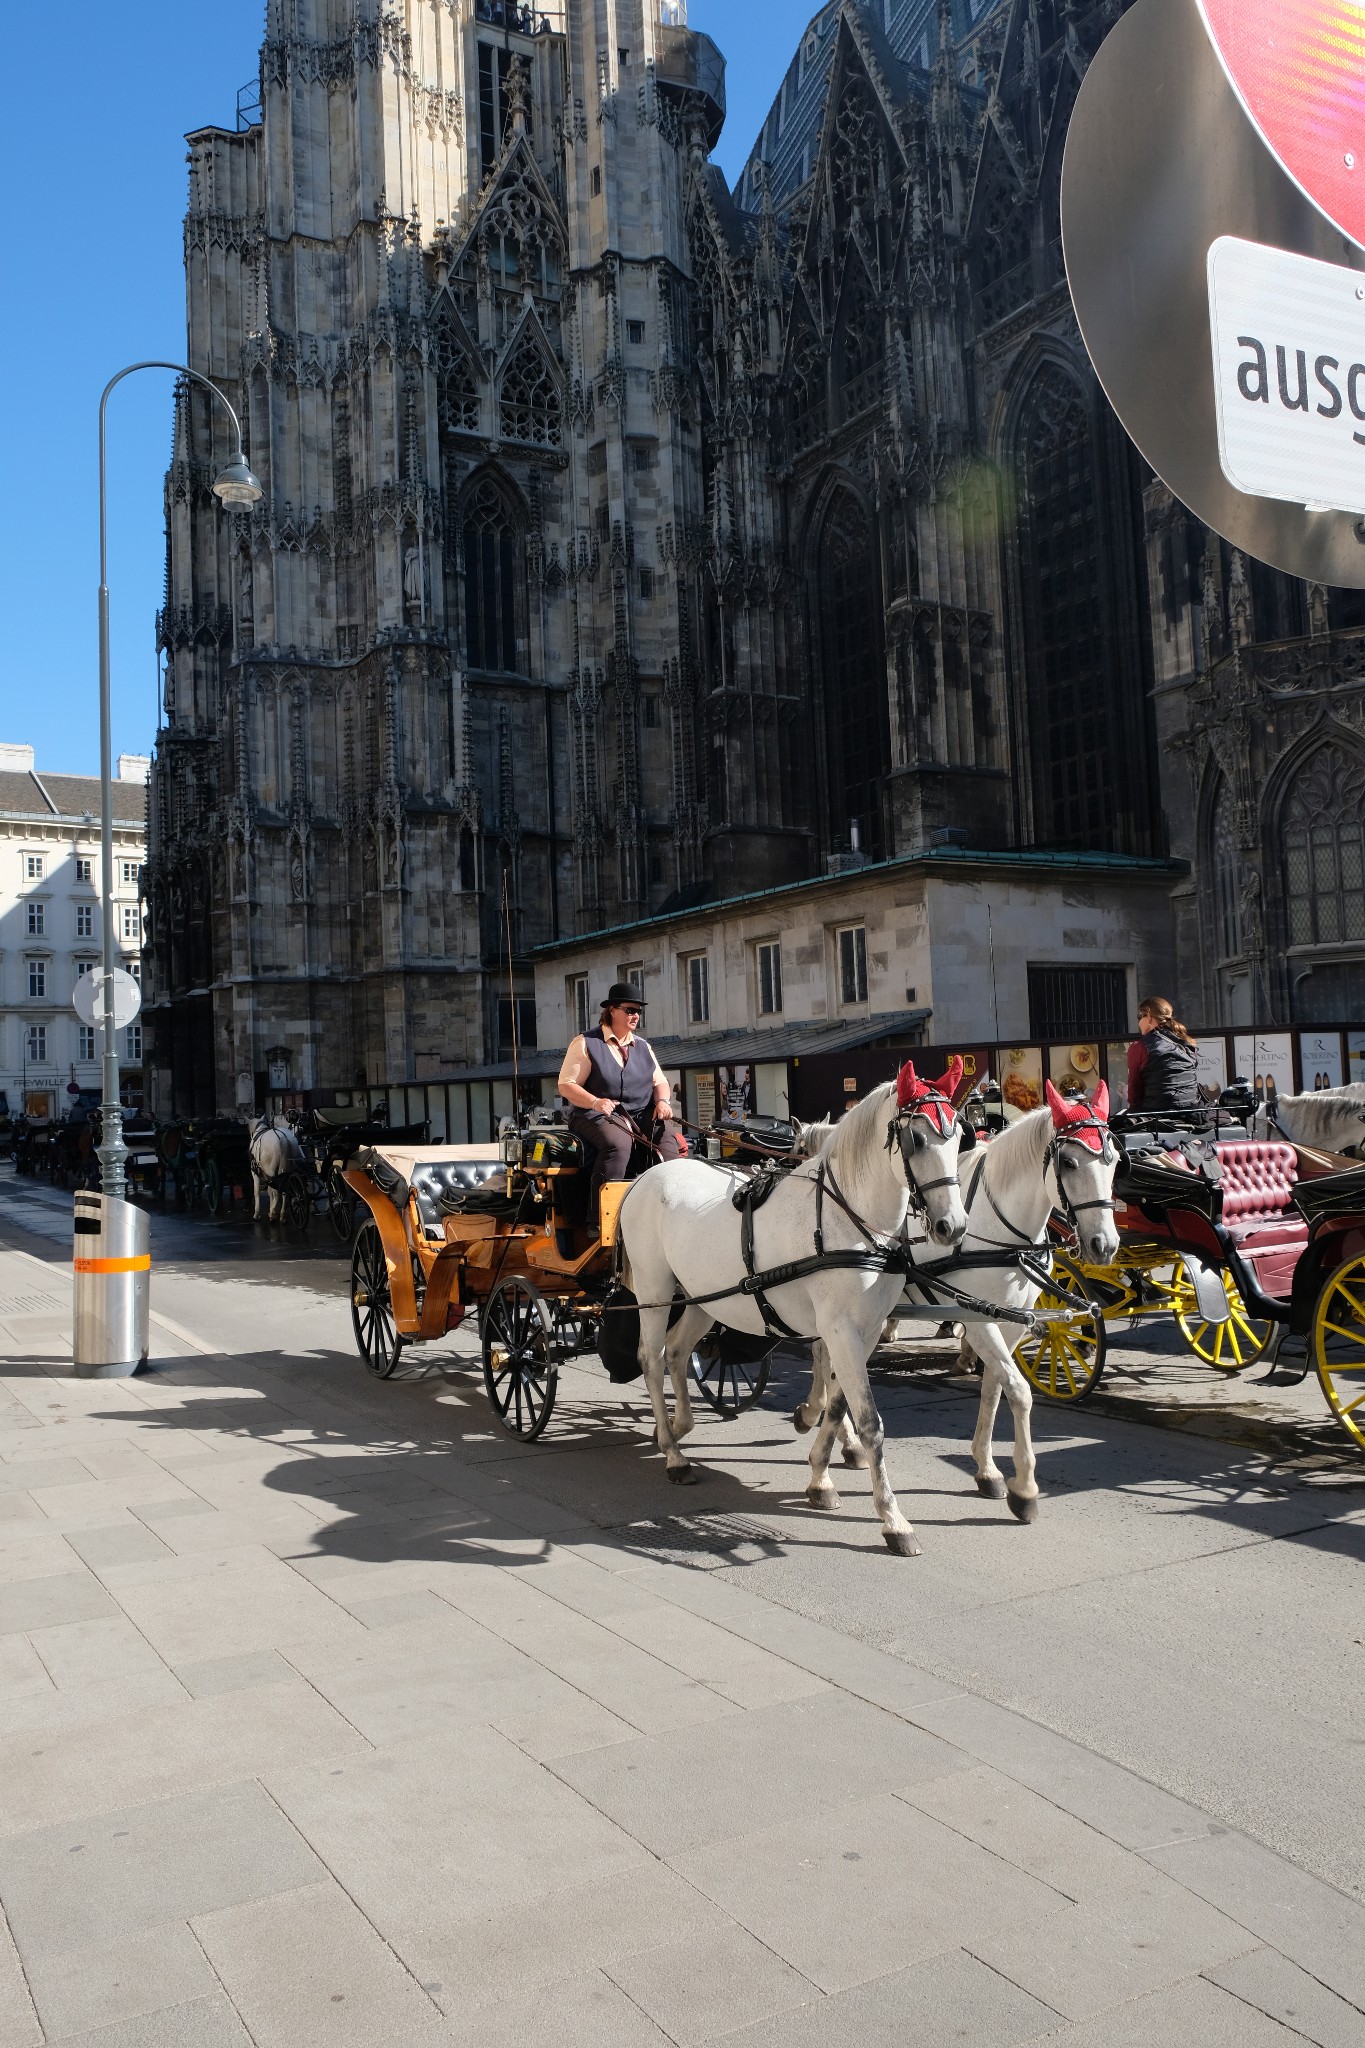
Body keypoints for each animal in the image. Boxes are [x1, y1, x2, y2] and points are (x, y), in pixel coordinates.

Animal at [618, 1064, 970, 1556]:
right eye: (915, 1139)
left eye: (960, 1139)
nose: (951, 1226)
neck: (849, 1220)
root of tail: (646, 1177)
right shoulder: (840, 1330)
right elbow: (868, 1421)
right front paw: (893, 1519)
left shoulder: (863, 1331)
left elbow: (837, 1407)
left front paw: (820, 1476)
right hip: (655, 1289)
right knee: (651, 1360)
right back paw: (673, 1454)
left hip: (705, 1297)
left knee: (676, 1352)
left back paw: (678, 1425)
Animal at [789, 1089, 1121, 1523]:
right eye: (1068, 1162)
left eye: (1114, 1160)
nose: (1106, 1245)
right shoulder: (978, 1319)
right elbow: (1019, 1391)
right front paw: (1025, 1487)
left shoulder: (1009, 1323)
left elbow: (995, 1389)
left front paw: (989, 1469)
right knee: (825, 1360)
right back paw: (826, 1426)